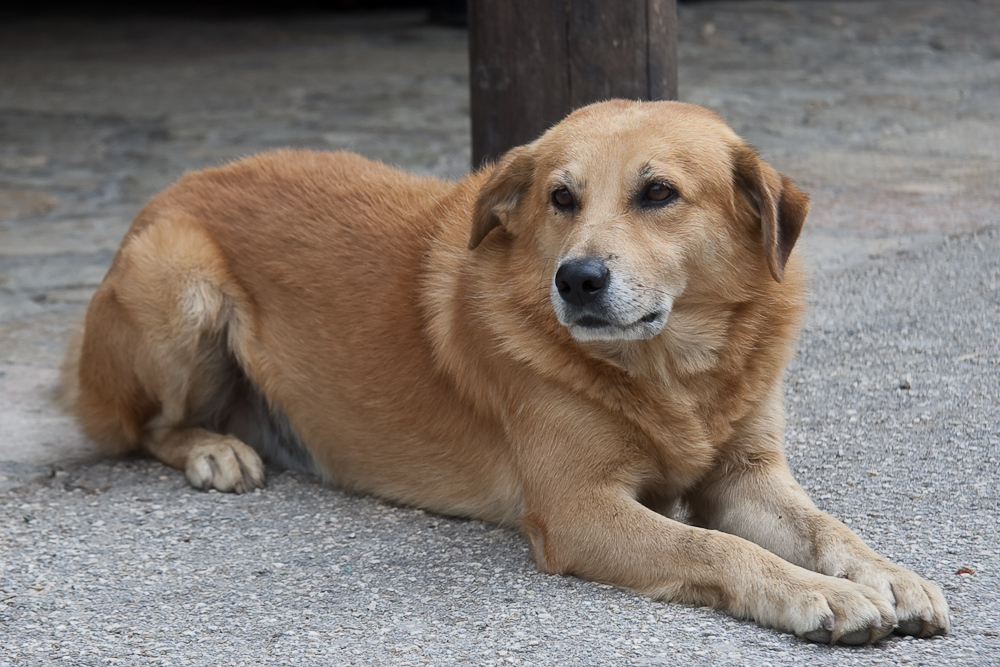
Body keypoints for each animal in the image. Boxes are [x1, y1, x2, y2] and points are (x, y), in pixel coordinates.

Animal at [64, 99, 952, 640]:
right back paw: (215, 449)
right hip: (178, 282)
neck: (673, 372)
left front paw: (888, 575)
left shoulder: (747, 475)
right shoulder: (580, 508)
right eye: (561, 198)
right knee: (142, 427)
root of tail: (175, 186)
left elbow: (827, 526)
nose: (577, 278)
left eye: (658, 193)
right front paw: (820, 593)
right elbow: (719, 550)